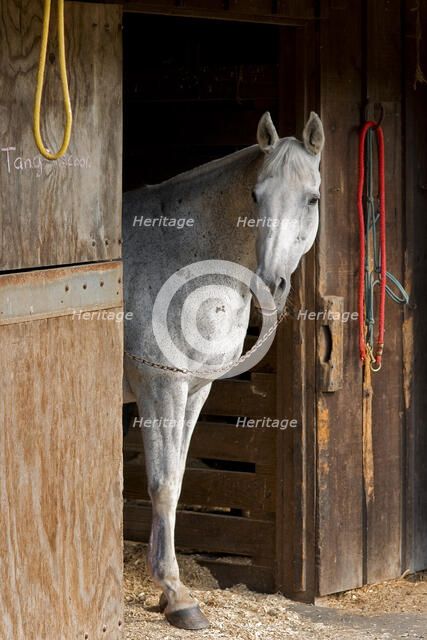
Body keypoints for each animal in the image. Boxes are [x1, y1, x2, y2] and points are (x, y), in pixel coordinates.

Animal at [122, 111, 324, 629]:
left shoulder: (195, 390)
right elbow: (164, 484)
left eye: (312, 198)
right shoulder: (161, 386)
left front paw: (169, 592)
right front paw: (177, 596)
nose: (271, 282)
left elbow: (176, 479)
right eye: (255, 194)